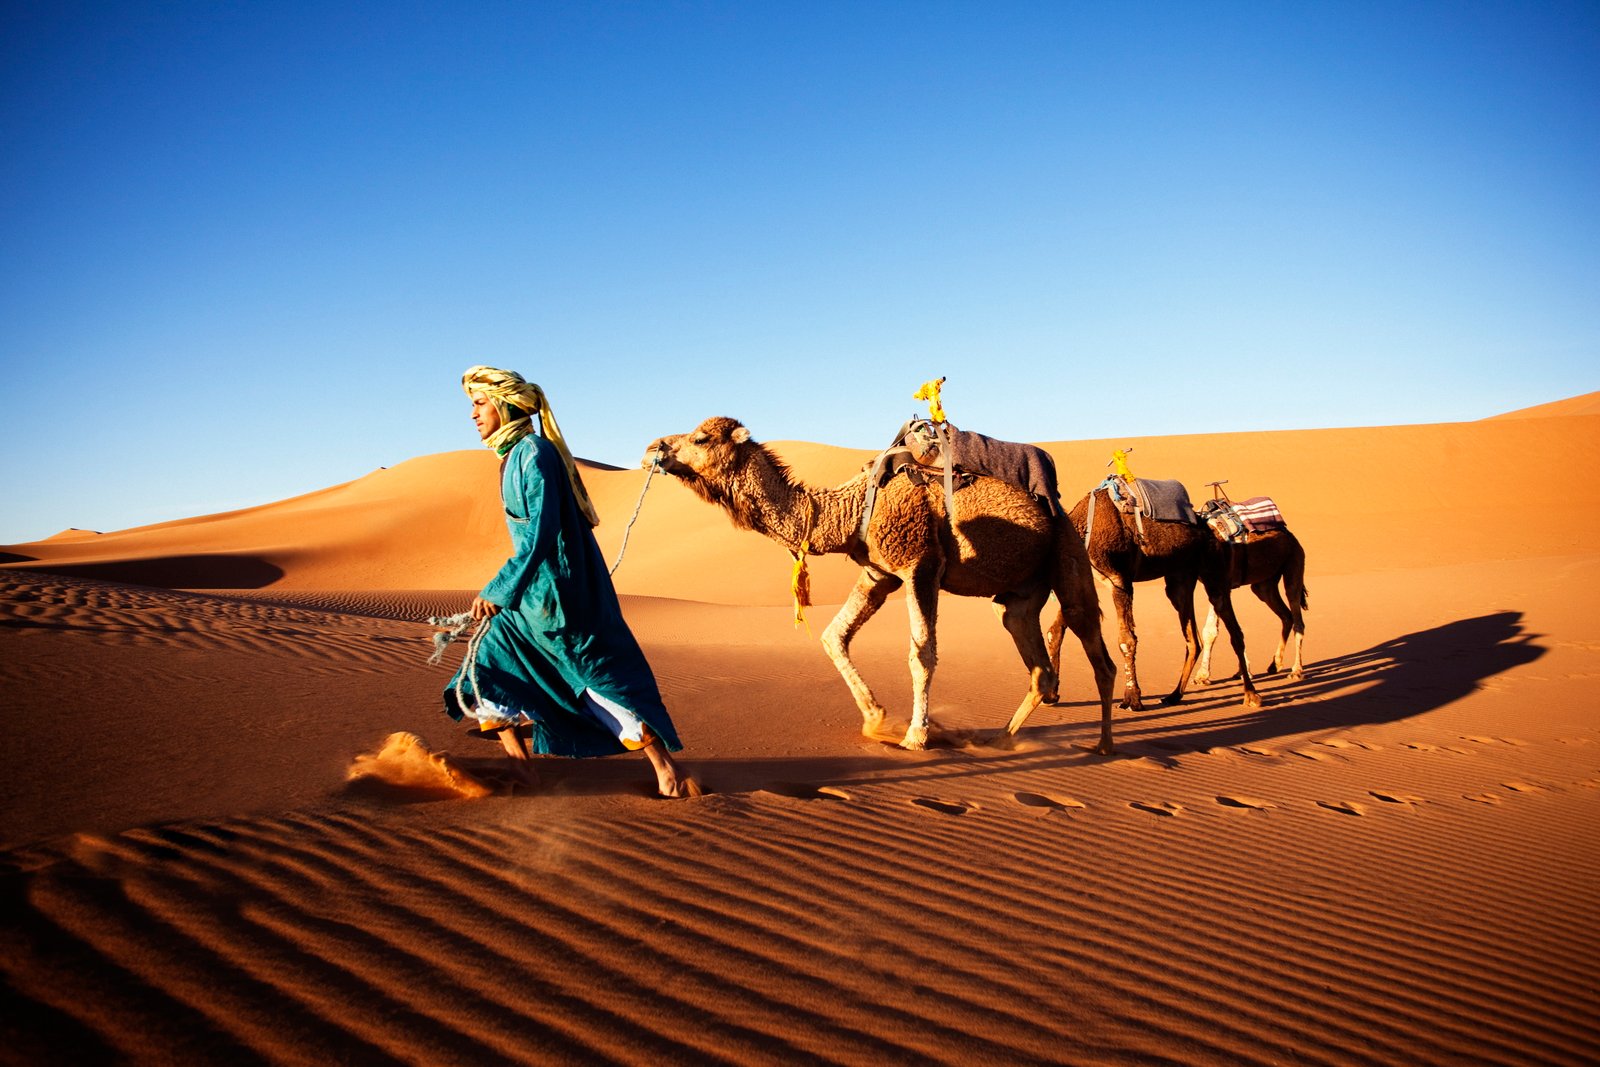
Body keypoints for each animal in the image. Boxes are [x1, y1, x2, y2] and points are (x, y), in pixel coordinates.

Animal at [644, 417, 1118, 752]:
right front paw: (875, 719)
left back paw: (1102, 744)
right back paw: (999, 739)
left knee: (1096, 650)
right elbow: (833, 636)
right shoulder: (878, 573)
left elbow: (921, 654)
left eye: (701, 438)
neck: (848, 511)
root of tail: (1056, 507)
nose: (654, 449)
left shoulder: (920, 566)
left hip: (1069, 557)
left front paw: (914, 737)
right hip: (1018, 598)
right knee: (1039, 668)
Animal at [1051, 482, 1261, 712]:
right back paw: (1174, 695)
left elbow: (1126, 640)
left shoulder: (1119, 580)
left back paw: (1251, 695)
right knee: (1193, 639)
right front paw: (1051, 694)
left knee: (1234, 631)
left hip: (1214, 574)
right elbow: (1055, 632)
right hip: (1180, 580)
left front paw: (1132, 699)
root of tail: (1217, 530)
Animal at [1193, 527, 1308, 685]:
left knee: (1297, 618)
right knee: (1286, 615)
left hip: (1294, 563)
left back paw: (1296, 670)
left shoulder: (1220, 585)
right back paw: (1275, 664)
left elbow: (1214, 631)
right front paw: (1203, 676)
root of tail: (1292, 537)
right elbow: (1212, 631)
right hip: (1264, 585)